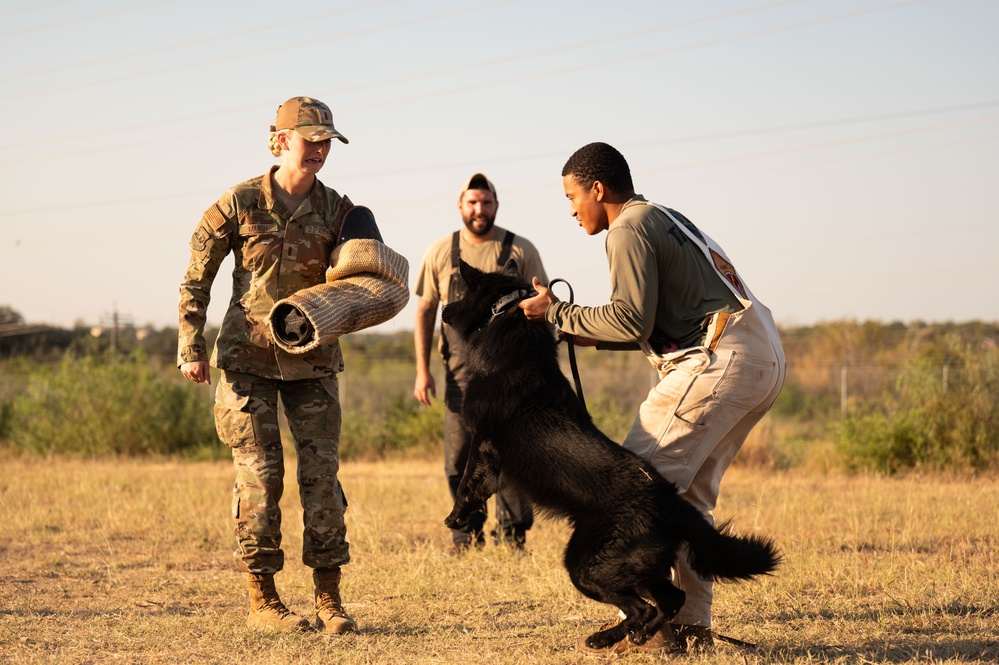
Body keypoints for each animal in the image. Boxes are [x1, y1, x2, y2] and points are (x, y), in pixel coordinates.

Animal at [444, 258, 780, 648]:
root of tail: (670, 501)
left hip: (588, 564)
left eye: (460, 290)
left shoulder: (482, 446)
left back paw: (611, 638)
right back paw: (637, 636)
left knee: (645, 607)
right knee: (672, 598)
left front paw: (456, 516)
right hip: (638, 567)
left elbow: (468, 484)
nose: (443, 310)